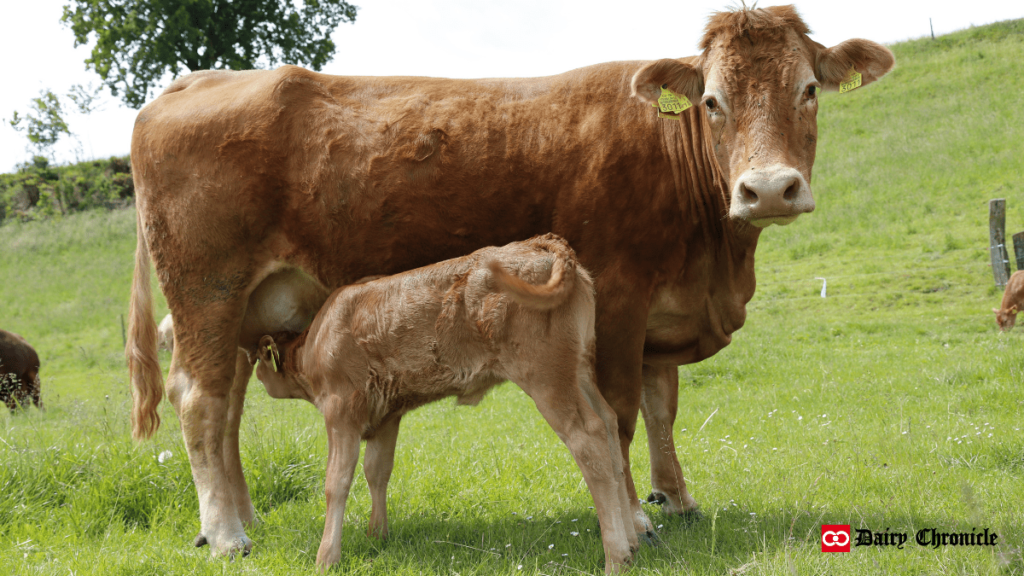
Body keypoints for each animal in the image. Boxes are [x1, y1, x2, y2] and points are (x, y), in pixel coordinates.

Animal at [252, 233, 634, 569]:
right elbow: (377, 471)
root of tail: (540, 244)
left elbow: (337, 481)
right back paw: (632, 543)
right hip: (579, 369)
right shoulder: (387, 415)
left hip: (547, 377)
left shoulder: (341, 409)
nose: (255, 370)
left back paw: (616, 557)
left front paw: (327, 556)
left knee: (588, 439)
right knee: (610, 424)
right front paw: (377, 534)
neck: (316, 341)